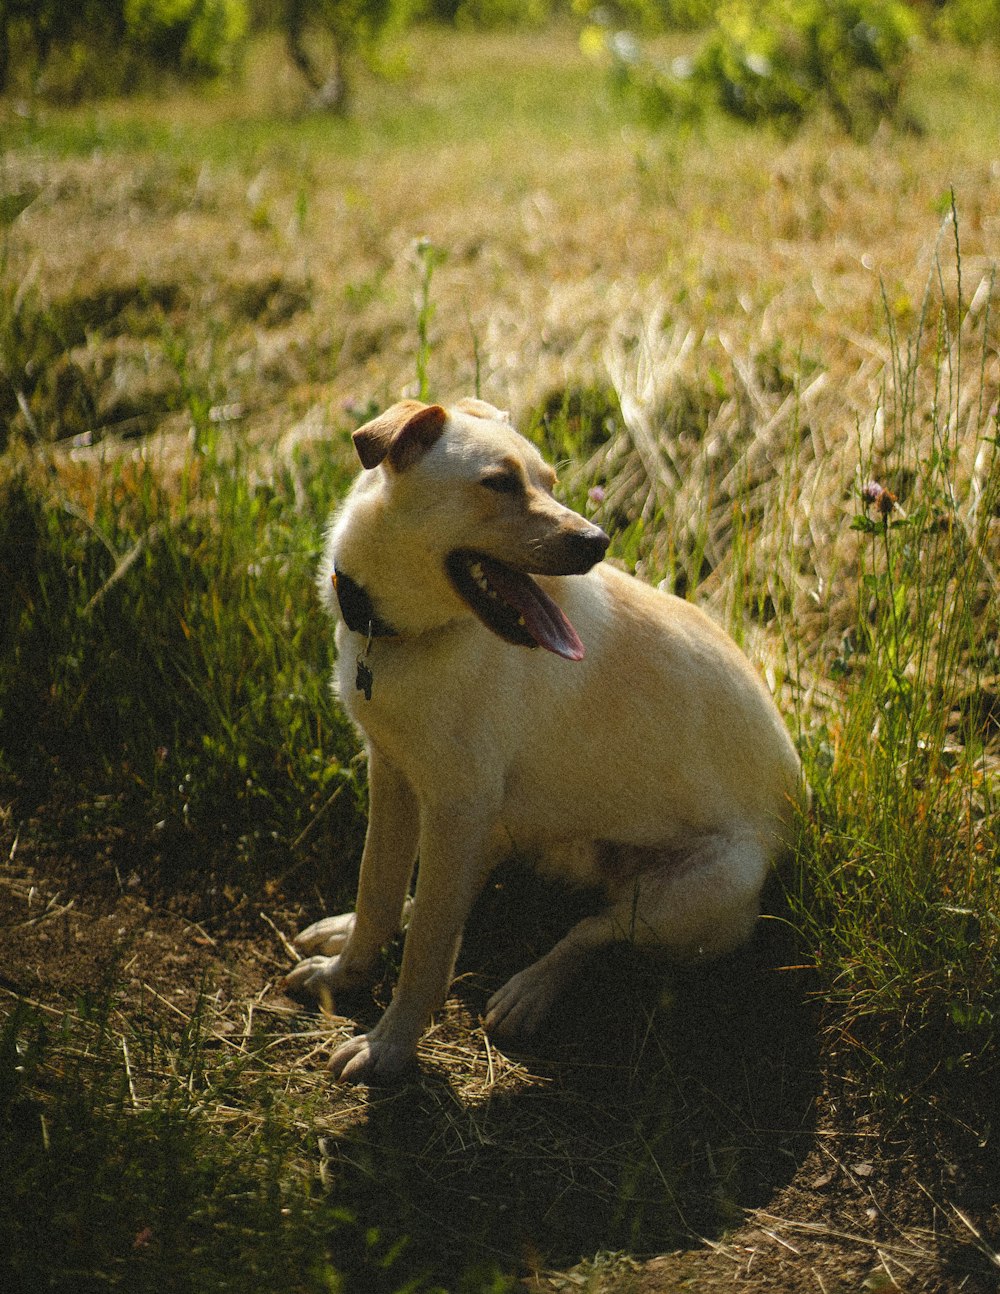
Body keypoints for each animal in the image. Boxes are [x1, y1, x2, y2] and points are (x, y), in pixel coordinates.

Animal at [283, 395, 802, 1081]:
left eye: (551, 484)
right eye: (499, 483)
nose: (597, 542)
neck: (406, 636)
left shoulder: (457, 806)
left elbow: (427, 955)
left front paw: (389, 1046)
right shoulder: (393, 775)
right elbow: (379, 891)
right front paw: (345, 973)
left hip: (703, 888)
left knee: (588, 933)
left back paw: (529, 991)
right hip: (500, 827)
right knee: (448, 897)